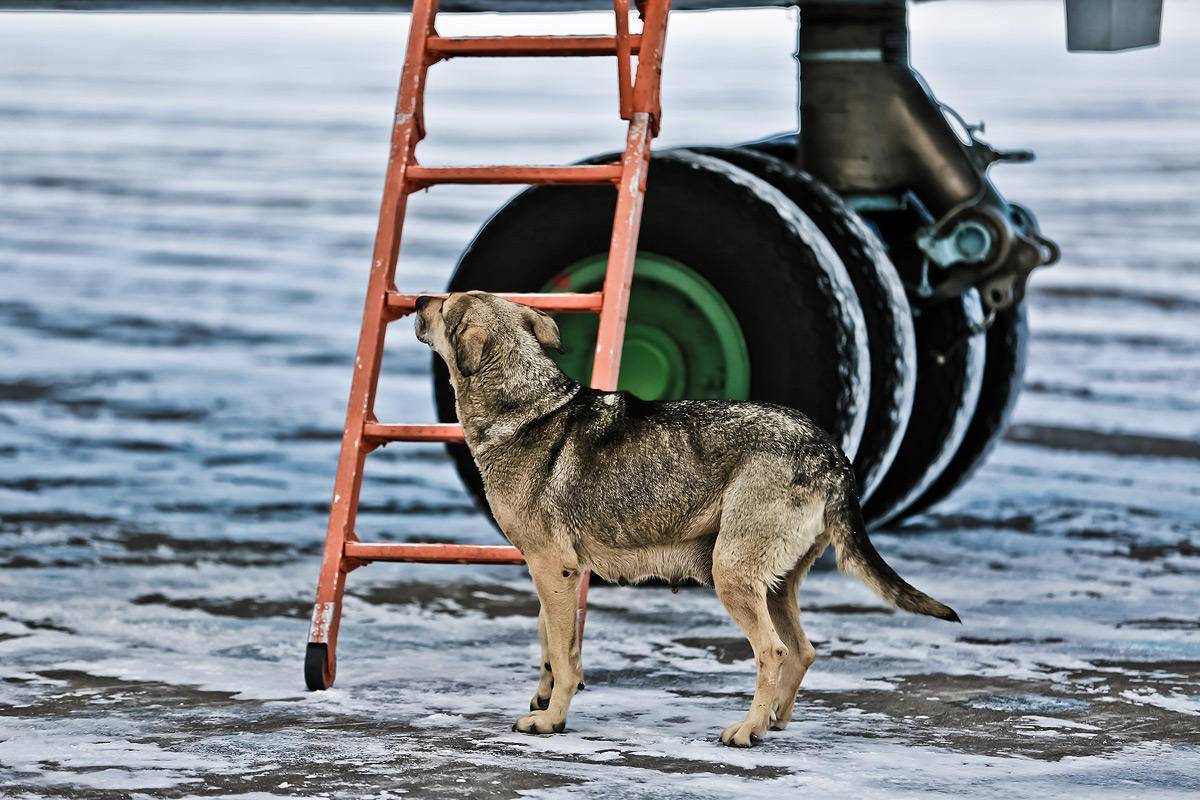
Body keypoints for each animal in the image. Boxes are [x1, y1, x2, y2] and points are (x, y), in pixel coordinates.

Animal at [417, 291, 960, 748]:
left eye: (445, 305)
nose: (420, 298)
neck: (524, 405)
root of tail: (832, 452)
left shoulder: (554, 568)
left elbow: (566, 656)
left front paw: (552, 720)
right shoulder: (553, 572)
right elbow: (549, 640)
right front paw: (544, 698)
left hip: (732, 574)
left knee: (774, 652)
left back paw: (747, 731)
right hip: (771, 583)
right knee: (803, 650)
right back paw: (773, 721)